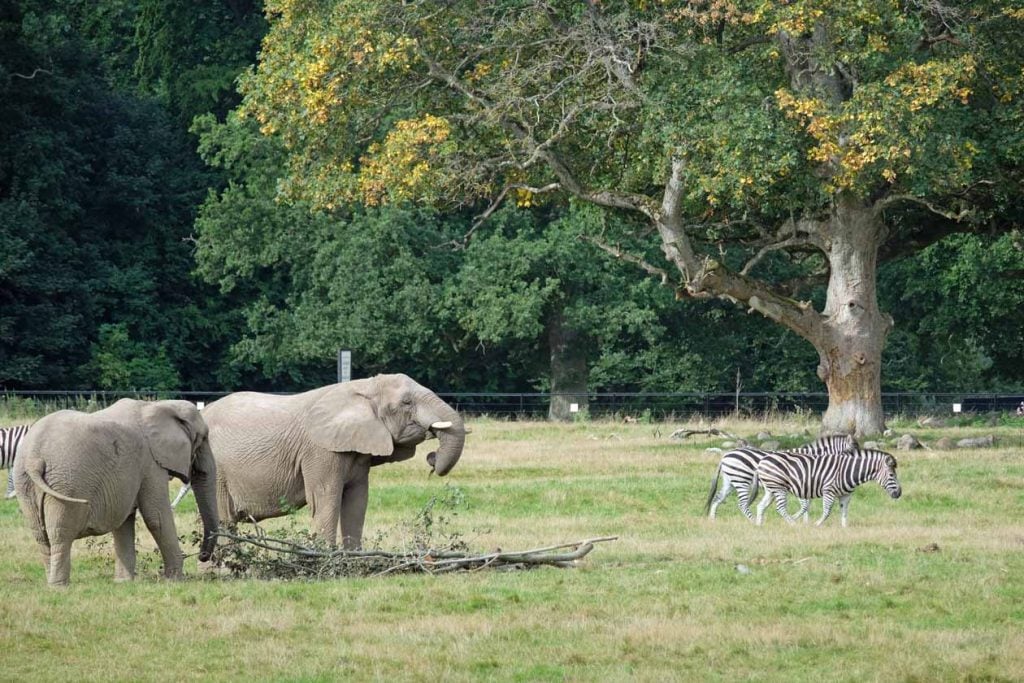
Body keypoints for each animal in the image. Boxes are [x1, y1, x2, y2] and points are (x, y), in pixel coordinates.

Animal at [14, 401, 219, 589]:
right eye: (203, 438)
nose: (202, 556)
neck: (156, 406)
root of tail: (34, 460)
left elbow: (124, 522)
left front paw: (123, 582)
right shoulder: (151, 463)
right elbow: (156, 517)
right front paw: (176, 581)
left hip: (24, 483)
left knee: (41, 536)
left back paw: (51, 585)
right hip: (66, 482)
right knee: (60, 534)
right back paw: (60, 587)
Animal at [204, 374, 468, 548]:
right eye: (406, 403)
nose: (432, 459)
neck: (363, 387)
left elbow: (357, 500)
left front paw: (353, 562)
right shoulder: (321, 451)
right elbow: (325, 498)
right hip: (215, 471)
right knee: (223, 521)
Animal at [704, 436, 856, 520]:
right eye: (853, 450)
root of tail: (725, 455)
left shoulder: (807, 485)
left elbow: (806, 507)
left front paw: (805, 523)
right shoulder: (800, 483)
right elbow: (805, 506)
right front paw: (795, 519)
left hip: (730, 481)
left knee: (717, 498)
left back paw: (713, 520)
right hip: (742, 480)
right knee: (742, 504)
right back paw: (753, 521)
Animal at [753, 448, 905, 528]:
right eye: (891, 475)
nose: (899, 493)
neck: (849, 471)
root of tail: (763, 460)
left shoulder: (846, 495)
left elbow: (844, 512)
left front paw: (844, 528)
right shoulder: (829, 491)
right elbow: (827, 511)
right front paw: (817, 524)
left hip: (770, 489)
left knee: (761, 506)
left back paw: (759, 525)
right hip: (779, 487)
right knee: (780, 508)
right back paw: (794, 524)